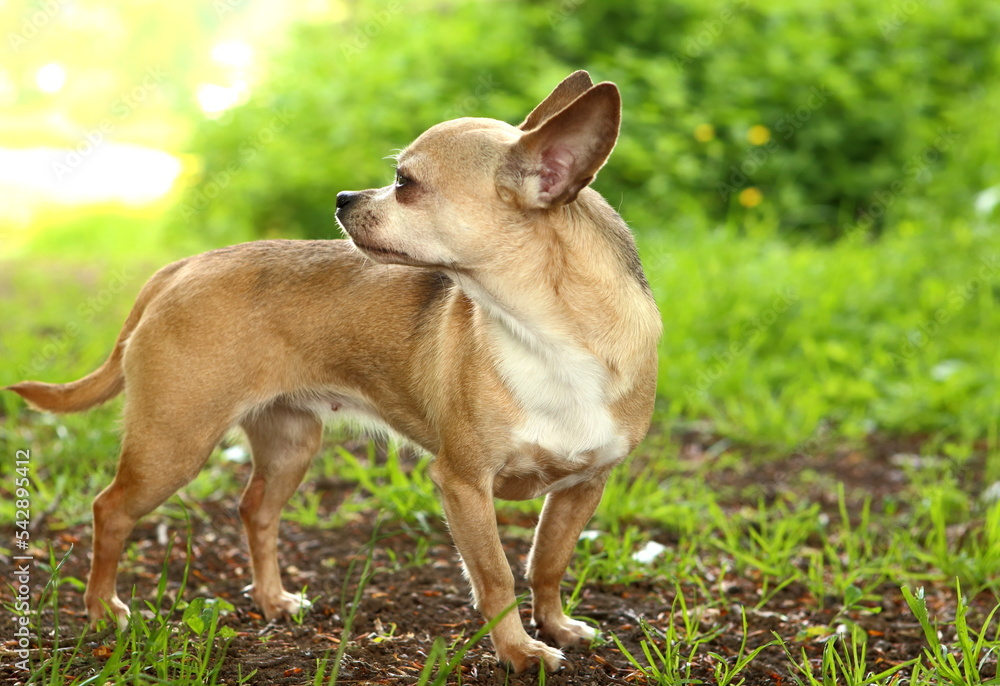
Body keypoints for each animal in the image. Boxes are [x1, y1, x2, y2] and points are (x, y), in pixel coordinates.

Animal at [9, 71, 664, 672]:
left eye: (404, 184)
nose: (344, 197)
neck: (549, 338)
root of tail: (184, 267)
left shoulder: (584, 485)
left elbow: (547, 562)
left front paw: (554, 627)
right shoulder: (464, 484)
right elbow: (497, 577)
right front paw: (519, 652)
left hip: (289, 444)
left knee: (255, 511)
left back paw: (272, 600)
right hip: (171, 447)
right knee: (110, 510)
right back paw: (102, 611)